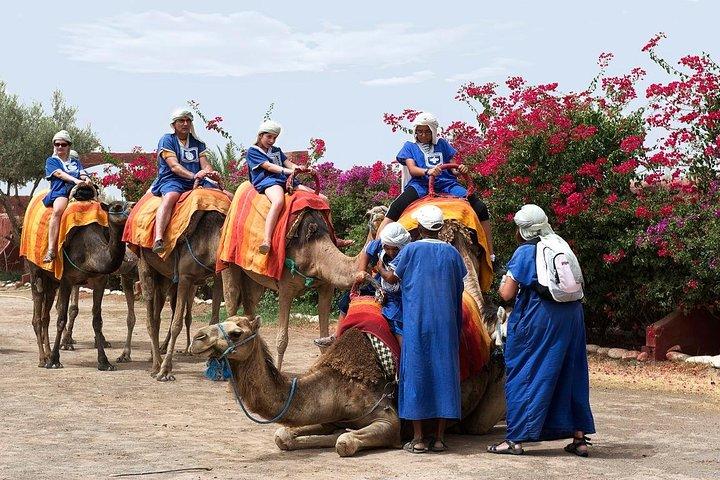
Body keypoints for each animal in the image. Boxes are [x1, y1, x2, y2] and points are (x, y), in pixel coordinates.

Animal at [29, 200, 131, 370]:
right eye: (117, 207)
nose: (134, 209)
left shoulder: (100, 280)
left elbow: (97, 320)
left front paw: (104, 362)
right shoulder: (67, 280)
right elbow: (61, 318)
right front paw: (55, 360)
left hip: (51, 282)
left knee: (45, 317)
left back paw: (47, 354)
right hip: (35, 272)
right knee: (37, 316)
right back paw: (43, 359)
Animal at [139, 208, 225, 381]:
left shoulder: (217, 275)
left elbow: (214, 321)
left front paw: (218, 370)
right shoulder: (185, 276)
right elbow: (176, 324)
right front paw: (165, 371)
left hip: (164, 277)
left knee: (157, 316)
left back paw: (155, 357)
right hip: (144, 262)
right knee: (150, 316)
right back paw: (156, 366)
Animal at [190, 313, 505, 457]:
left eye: (236, 332)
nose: (197, 338)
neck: (336, 380)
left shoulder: (388, 419)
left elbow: (344, 442)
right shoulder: (328, 414)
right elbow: (283, 435)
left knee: (479, 424)